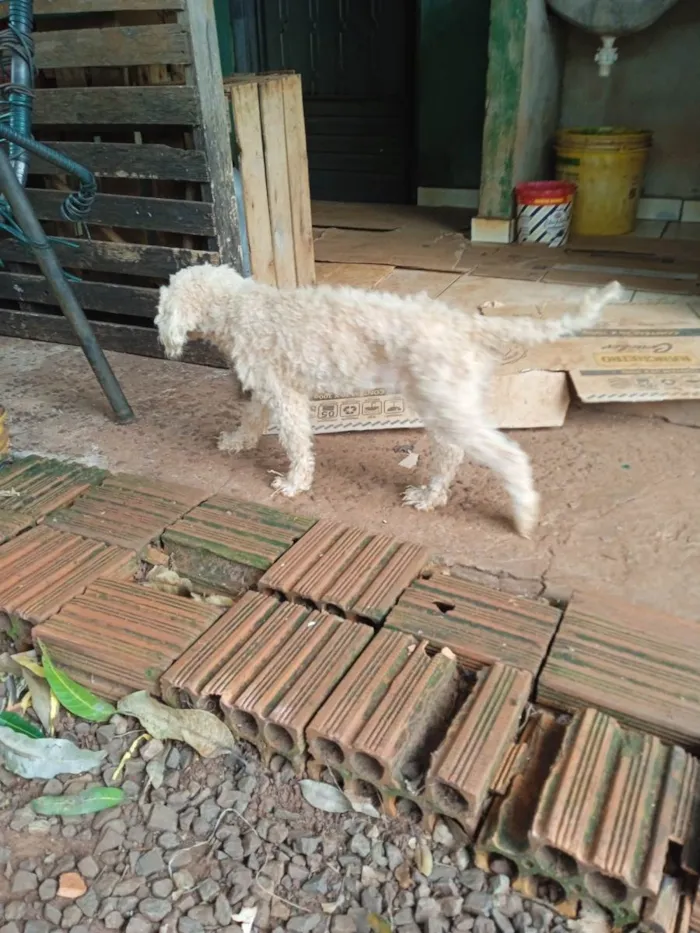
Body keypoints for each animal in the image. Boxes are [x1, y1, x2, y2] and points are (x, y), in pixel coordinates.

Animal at [156, 266, 620, 536]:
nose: (163, 337)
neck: (238, 306)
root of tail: (465, 325)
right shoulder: (270, 386)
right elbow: (252, 416)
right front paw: (237, 441)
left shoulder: (286, 395)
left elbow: (297, 442)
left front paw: (293, 482)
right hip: (445, 402)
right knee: (451, 455)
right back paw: (431, 495)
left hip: (447, 405)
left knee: (508, 457)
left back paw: (522, 515)